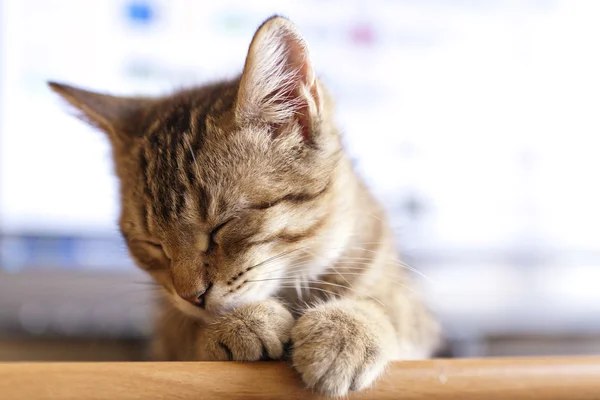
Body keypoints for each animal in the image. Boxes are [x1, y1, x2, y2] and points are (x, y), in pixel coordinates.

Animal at [50, 14, 440, 396]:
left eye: (222, 226)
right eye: (152, 244)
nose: (191, 296)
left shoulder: (401, 291)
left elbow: (388, 304)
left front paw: (347, 328)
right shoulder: (168, 330)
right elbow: (188, 332)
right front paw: (239, 322)